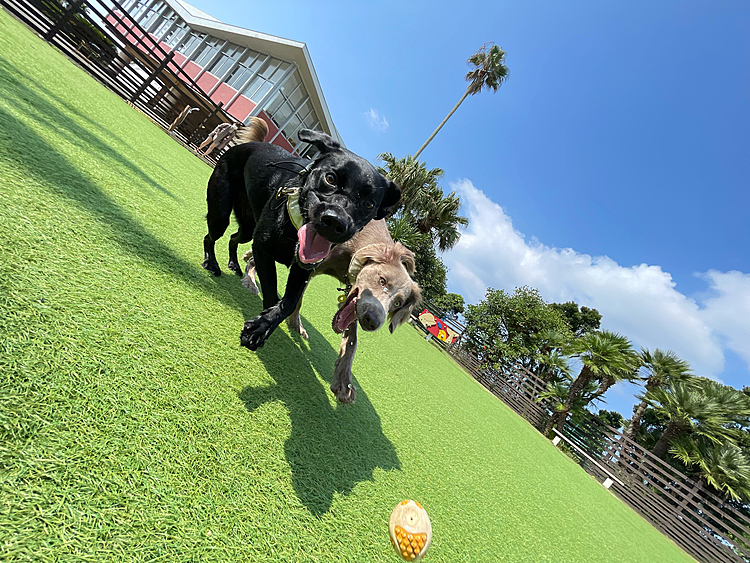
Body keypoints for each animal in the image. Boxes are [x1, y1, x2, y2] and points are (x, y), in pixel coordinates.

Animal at [200, 131, 400, 352]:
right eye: (330, 178)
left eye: (369, 204)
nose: (335, 221)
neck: (293, 232)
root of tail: (244, 145)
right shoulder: (262, 249)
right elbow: (272, 294)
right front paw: (259, 329)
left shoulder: (303, 271)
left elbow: (289, 303)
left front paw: (263, 326)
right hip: (221, 215)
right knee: (210, 237)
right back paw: (212, 263)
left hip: (248, 228)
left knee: (233, 238)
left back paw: (233, 264)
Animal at [244, 218, 420, 404]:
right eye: (382, 280)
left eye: (398, 303)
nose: (372, 321)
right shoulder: (311, 265)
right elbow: (296, 299)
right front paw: (292, 322)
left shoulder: (353, 300)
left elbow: (351, 340)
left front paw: (344, 382)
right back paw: (249, 278)